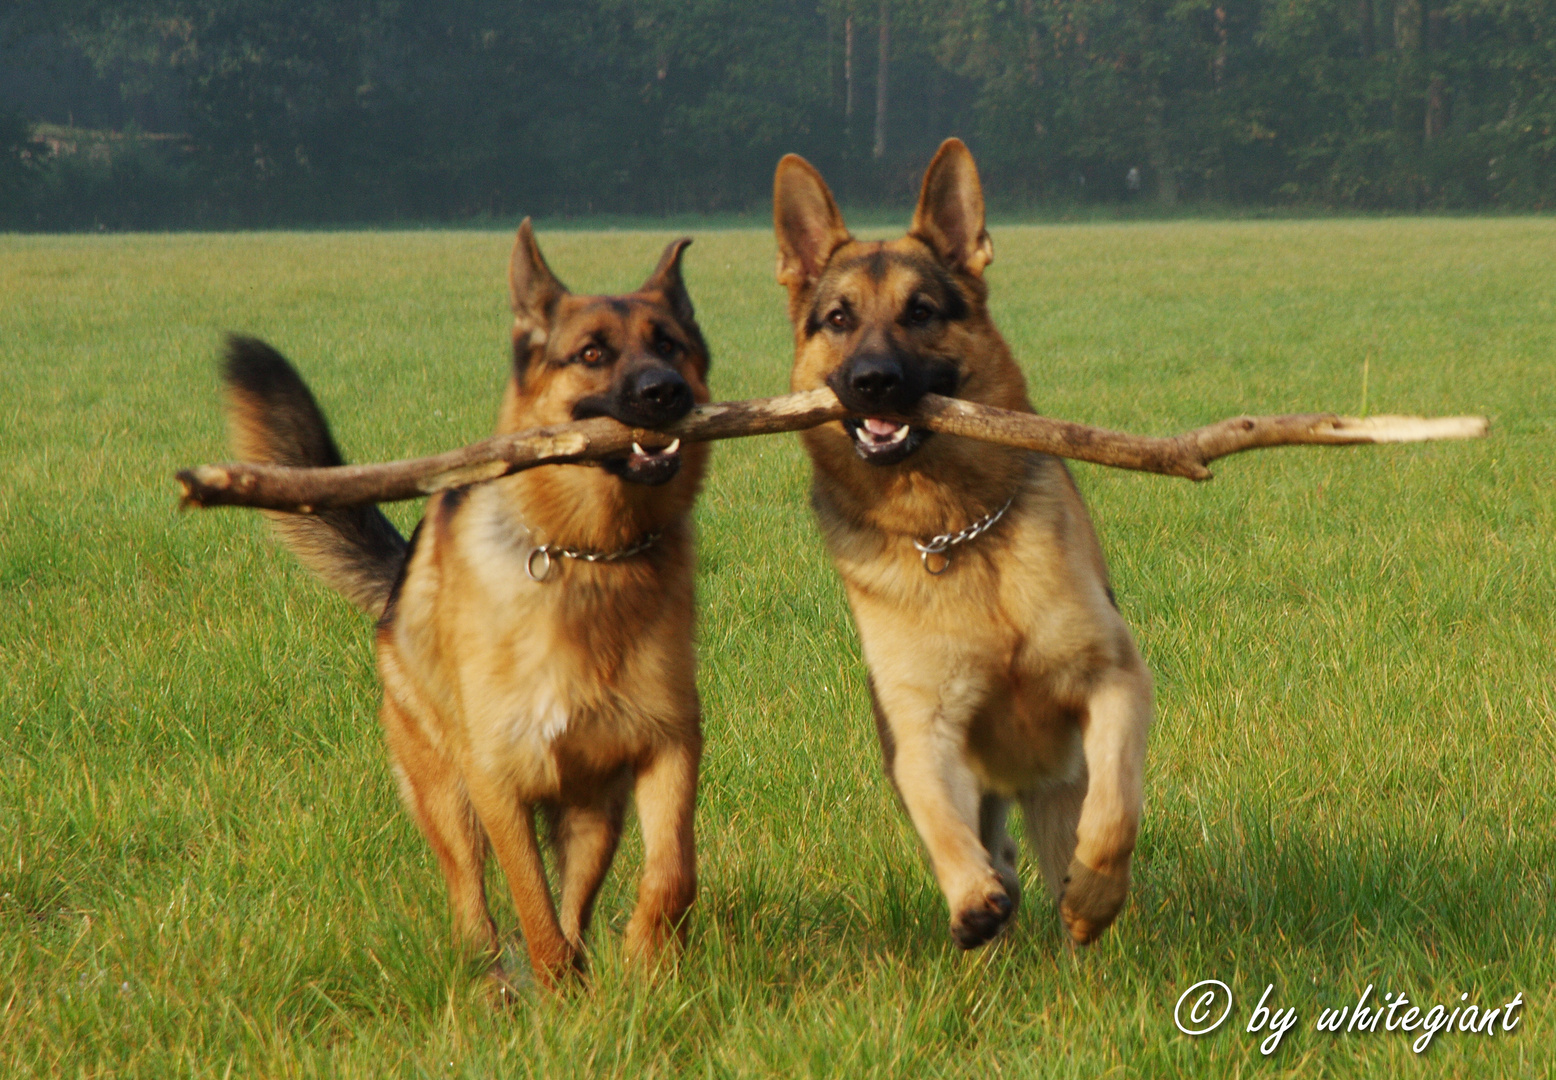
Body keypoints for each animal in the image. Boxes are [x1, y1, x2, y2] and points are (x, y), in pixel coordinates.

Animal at [225, 222, 712, 989]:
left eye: (669, 345)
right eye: (592, 354)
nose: (665, 393)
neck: (589, 554)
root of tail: (396, 589)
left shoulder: (665, 745)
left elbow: (670, 873)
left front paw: (643, 956)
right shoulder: (498, 779)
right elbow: (532, 906)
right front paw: (557, 991)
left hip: (592, 816)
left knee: (576, 903)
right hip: (449, 795)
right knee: (472, 902)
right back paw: (494, 977)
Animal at [778, 141, 1157, 946]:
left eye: (921, 312)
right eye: (838, 318)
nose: (873, 381)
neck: (956, 529)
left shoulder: (1114, 681)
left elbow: (1116, 808)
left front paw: (1096, 894)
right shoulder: (922, 730)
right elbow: (939, 819)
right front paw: (970, 895)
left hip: (1055, 789)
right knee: (991, 842)